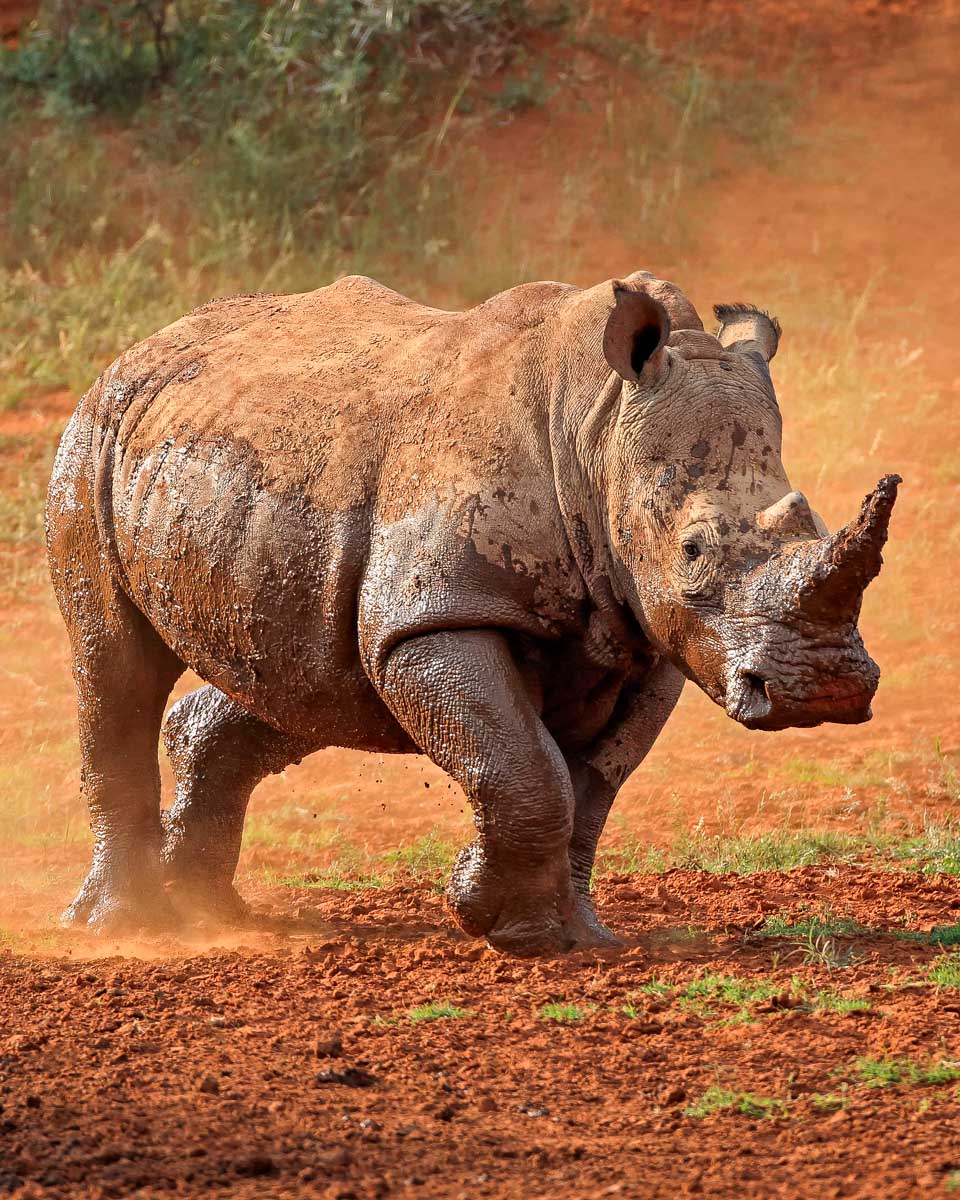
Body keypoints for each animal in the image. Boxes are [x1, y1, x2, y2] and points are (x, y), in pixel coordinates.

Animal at [46, 270, 900, 955]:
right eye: (692, 550)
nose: (822, 686)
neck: (595, 429)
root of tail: (150, 344)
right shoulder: (442, 614)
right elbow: (525, 769)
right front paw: (507, 928)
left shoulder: (651, 637)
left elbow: (589, 786)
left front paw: (572, 935)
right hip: (95, 434)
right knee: (113, 663)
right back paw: (125, 925)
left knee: (311, 676)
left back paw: (206, 911)